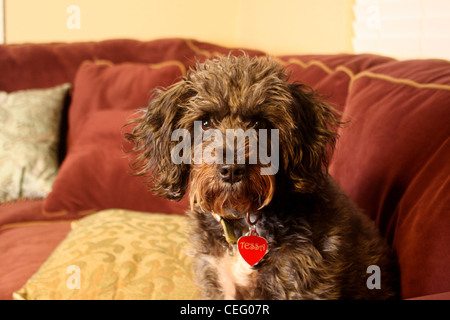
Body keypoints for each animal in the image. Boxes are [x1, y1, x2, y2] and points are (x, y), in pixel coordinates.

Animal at [126, 54, 398, 300]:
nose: (231, 169)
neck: (243, 220)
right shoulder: (216, 281)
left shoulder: (303, 285)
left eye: (261, 123)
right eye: (205, 122)